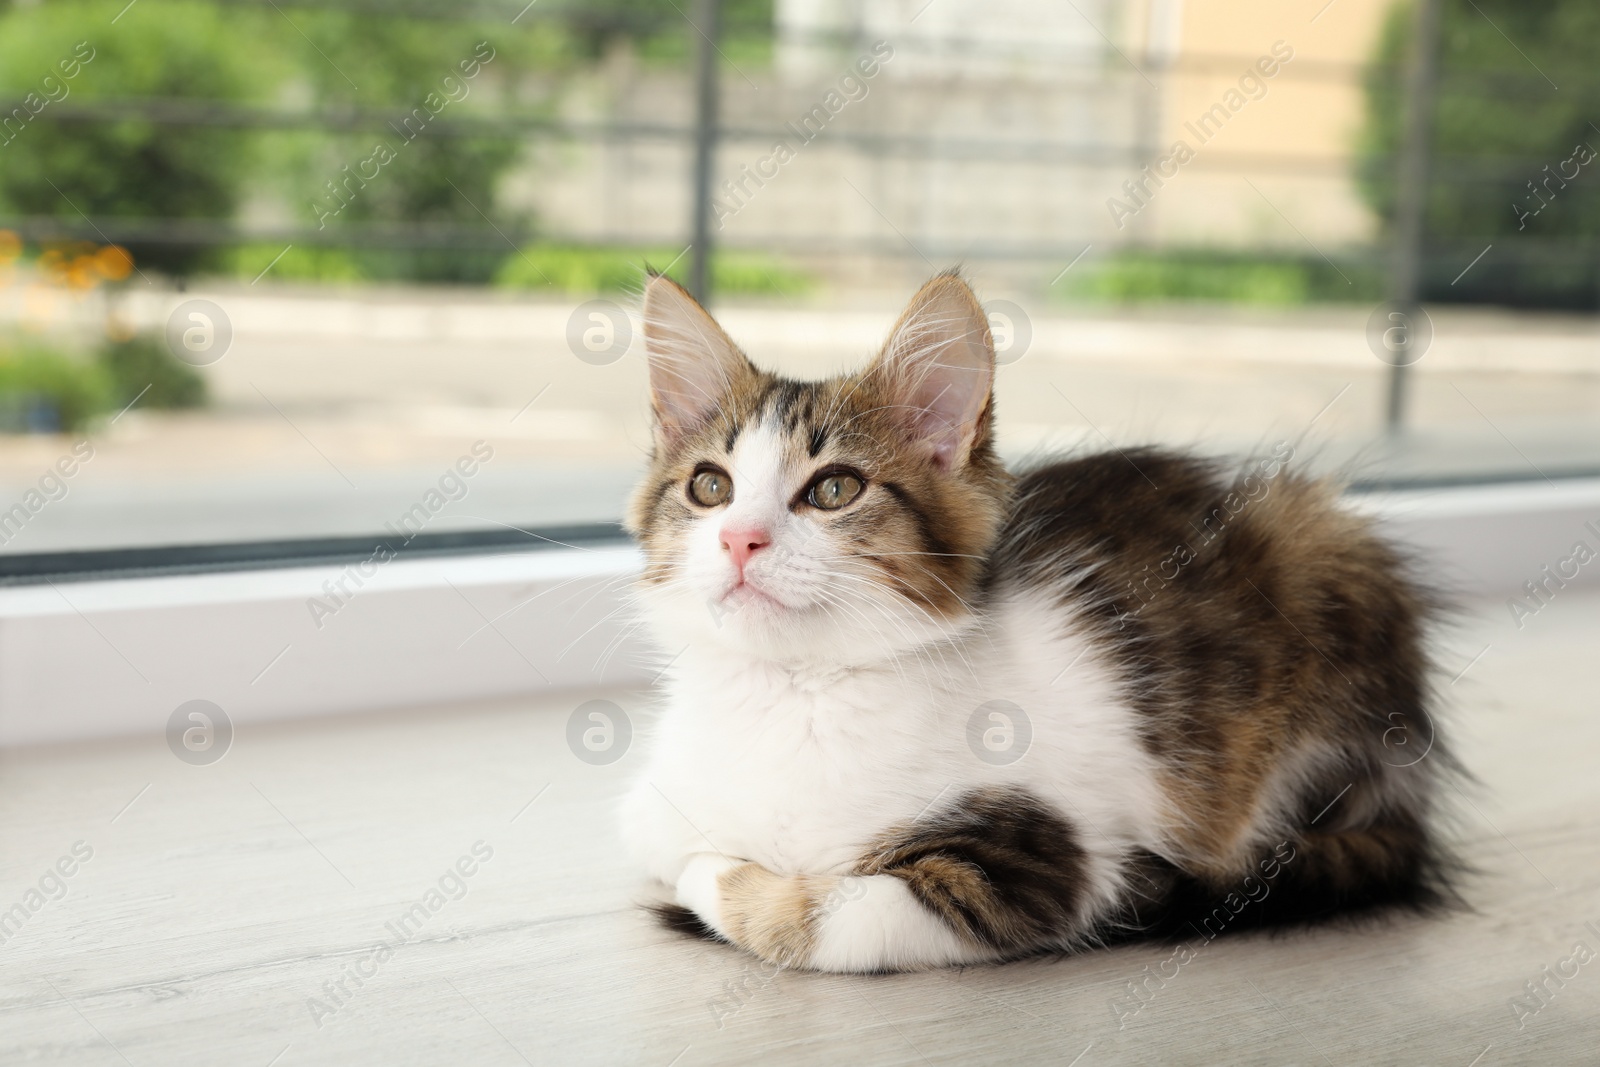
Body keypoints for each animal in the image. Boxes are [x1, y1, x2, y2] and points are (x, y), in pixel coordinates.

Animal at [614, 271, 1465, 972]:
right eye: (710, 486)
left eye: (833, 490)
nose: (740, 538)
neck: (796, 688)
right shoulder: (654, 808)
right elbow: (665, 845)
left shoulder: (1046, 862)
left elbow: (814, 917)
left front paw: (720, 881)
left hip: (1318, 559)